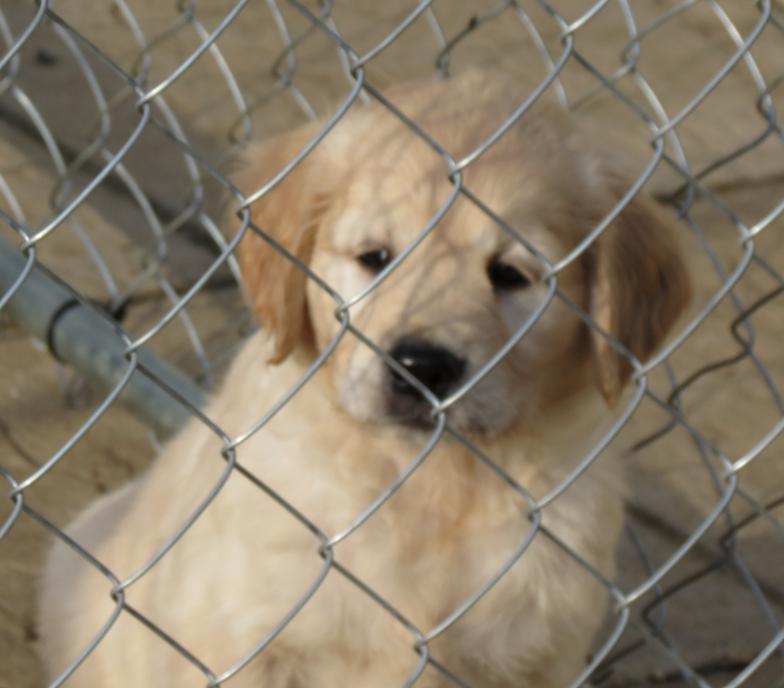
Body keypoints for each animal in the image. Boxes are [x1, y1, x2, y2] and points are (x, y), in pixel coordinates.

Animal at [41, 71, 692, 688]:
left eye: (510, 275)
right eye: (375, 257)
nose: (423, 367)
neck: (426, 480)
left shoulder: (540, 654)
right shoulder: (237, 639)